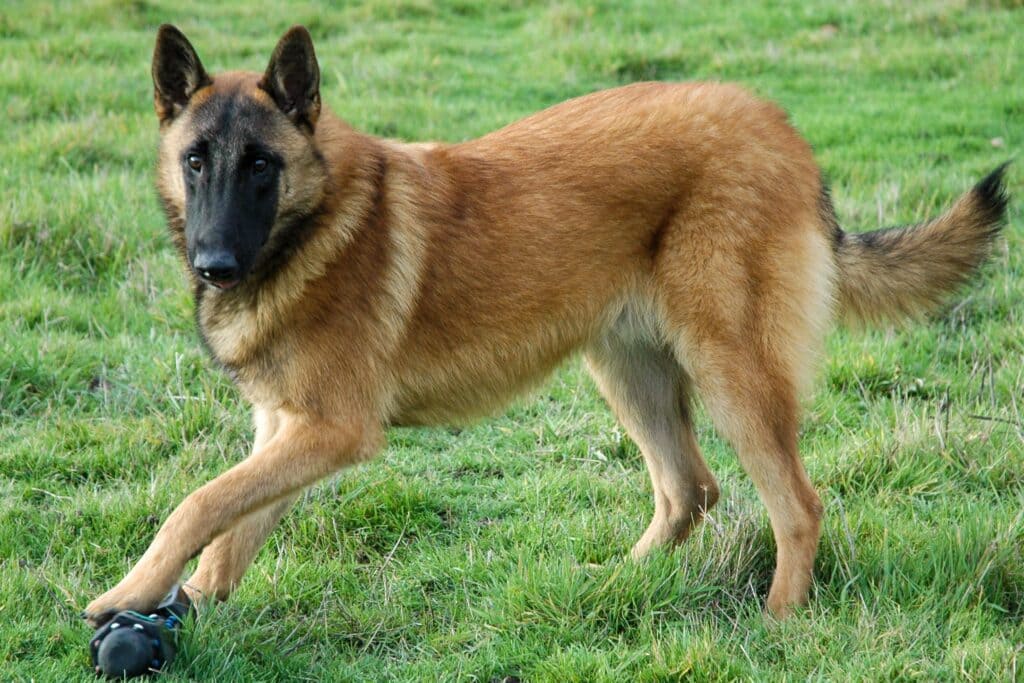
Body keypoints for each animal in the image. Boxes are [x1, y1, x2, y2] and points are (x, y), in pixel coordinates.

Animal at [81, 25, 1007, 626]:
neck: (314, 224)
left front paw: (128, 595)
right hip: (628, 369)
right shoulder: (288, 427)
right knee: (689, 489)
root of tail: (780, 130)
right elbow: (234, 526)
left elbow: (198, 503)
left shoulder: (329, 430)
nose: (214, 265)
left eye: (261, 166)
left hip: (731, 371)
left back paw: (780, 622)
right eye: (195, 161)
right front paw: (190, 603)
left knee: (797, 505)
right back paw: (617, 585)